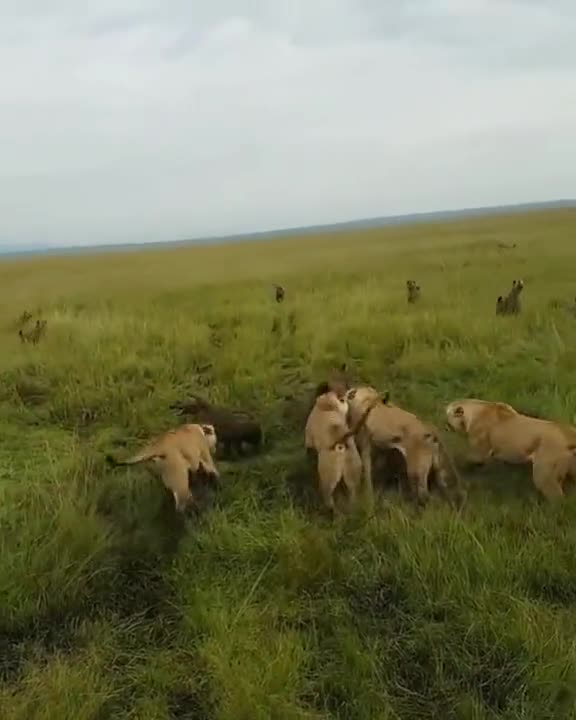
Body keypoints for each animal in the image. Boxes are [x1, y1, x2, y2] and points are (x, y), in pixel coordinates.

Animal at [445, 398, 576, 500]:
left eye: (448, 419)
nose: (445, 426)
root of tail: (569, 433)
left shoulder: (478, 451)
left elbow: (466, 460)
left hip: (543, 475)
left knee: (558, 500)